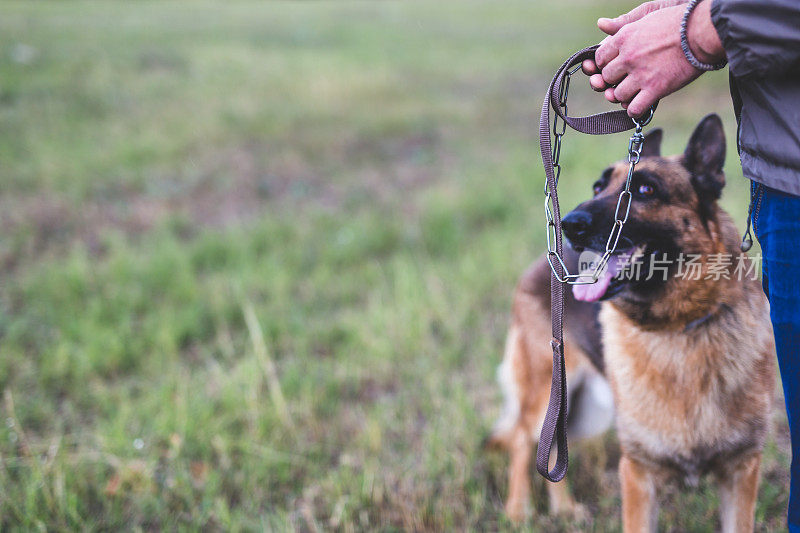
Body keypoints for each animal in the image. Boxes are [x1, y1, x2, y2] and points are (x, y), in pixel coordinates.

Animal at [488, 114, 776, 528]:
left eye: (644, 189)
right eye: (598, 186)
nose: (569, 224)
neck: (678, 328)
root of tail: (549, 262)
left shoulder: (741, 471)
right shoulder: (638, 474)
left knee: (552, 443)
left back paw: (563, 509)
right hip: (548, 386)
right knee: (524, 440)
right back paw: (518, 510)